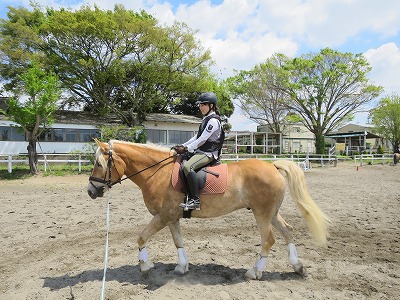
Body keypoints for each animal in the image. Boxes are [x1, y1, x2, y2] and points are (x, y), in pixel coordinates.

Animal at [89, 139, 330, 280]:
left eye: (99, 164)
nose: (91, 191)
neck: (158, 173)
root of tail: (272, 165)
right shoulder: (172, 217)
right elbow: (178, 242)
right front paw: (182, 267)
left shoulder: (163, 216)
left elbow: (141, 237)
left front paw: (145, 266)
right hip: (272, 213)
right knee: (288, 231)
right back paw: (298, 266)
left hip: (262, 214)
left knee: (268, 240)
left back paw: (255, 271)